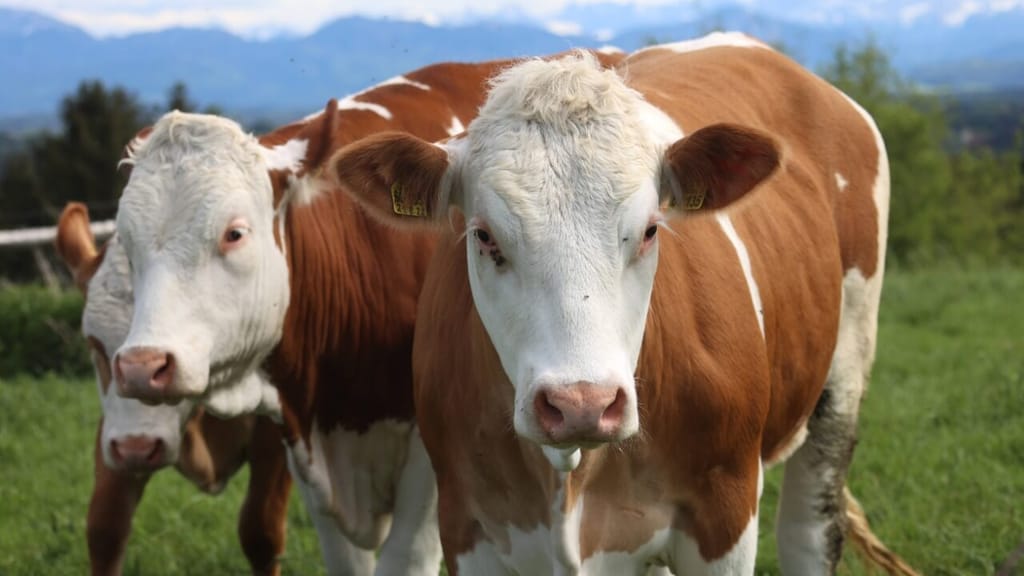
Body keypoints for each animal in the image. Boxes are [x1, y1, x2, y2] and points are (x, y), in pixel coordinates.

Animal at [323, 33, 918, 575]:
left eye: (652, 229)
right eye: (484, 236)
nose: (581, 404)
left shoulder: (725, 511)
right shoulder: (467, 521)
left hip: (841, 382)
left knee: (808, 530)